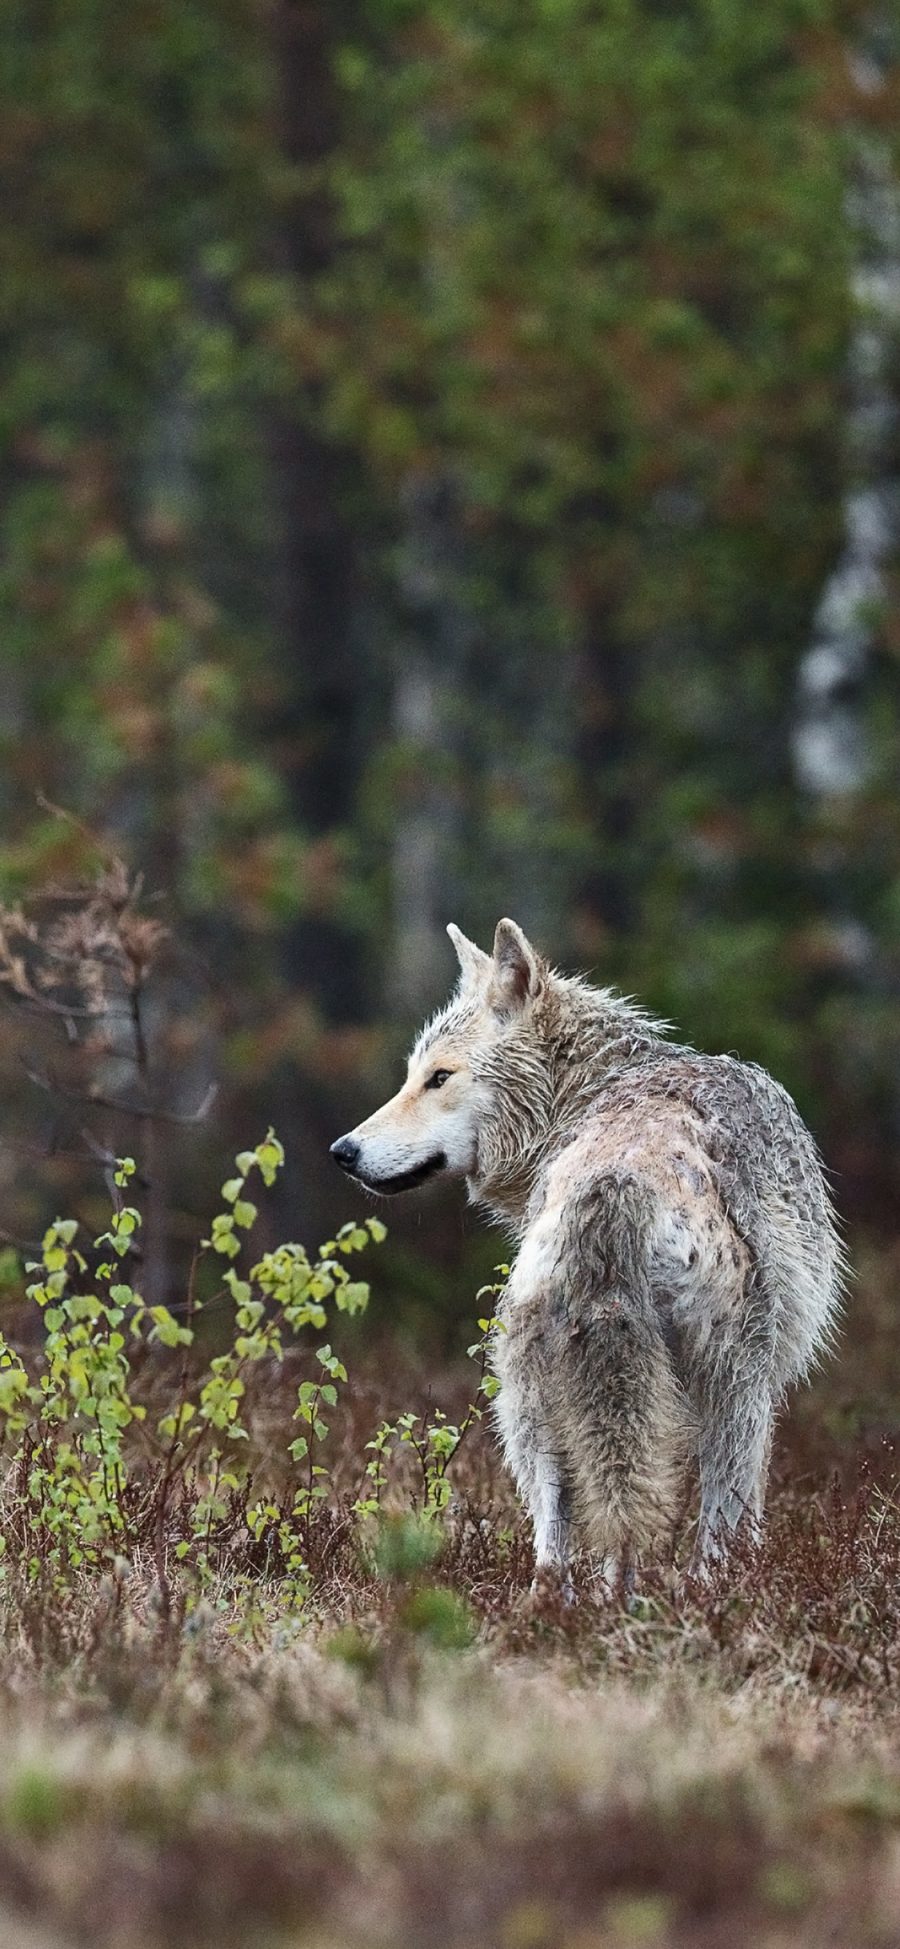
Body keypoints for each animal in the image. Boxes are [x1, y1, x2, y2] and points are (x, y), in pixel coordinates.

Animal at [331, 923, 845, 1582]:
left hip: (530, 1398)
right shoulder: (763, 1383)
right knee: (708, 1527)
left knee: (558, 1539)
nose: (342, 1151)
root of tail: (616, 1182)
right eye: (415, 1076)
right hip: (733, 1387)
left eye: (437, 1078)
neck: (585, 1091)